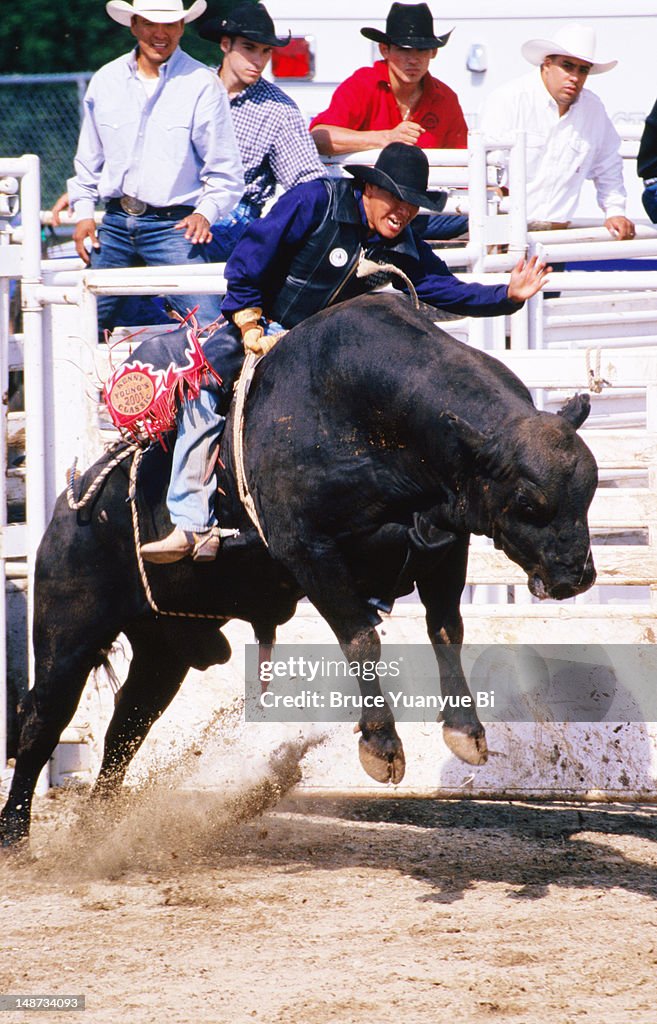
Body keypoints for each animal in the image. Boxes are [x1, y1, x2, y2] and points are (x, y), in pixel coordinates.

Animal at [0, 293, 597, 845]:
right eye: (527, 503)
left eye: (587, 492)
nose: (576, 576)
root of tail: (71, 503)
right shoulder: (308, 549)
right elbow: (361, 639)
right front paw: (381, 746)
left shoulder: (447, 543)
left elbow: (446, 629)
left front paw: (466, 731)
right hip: (68, 632)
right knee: (41, 721)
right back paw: (16, 834)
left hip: (162, 648)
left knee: (127, 724)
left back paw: (97, 827)